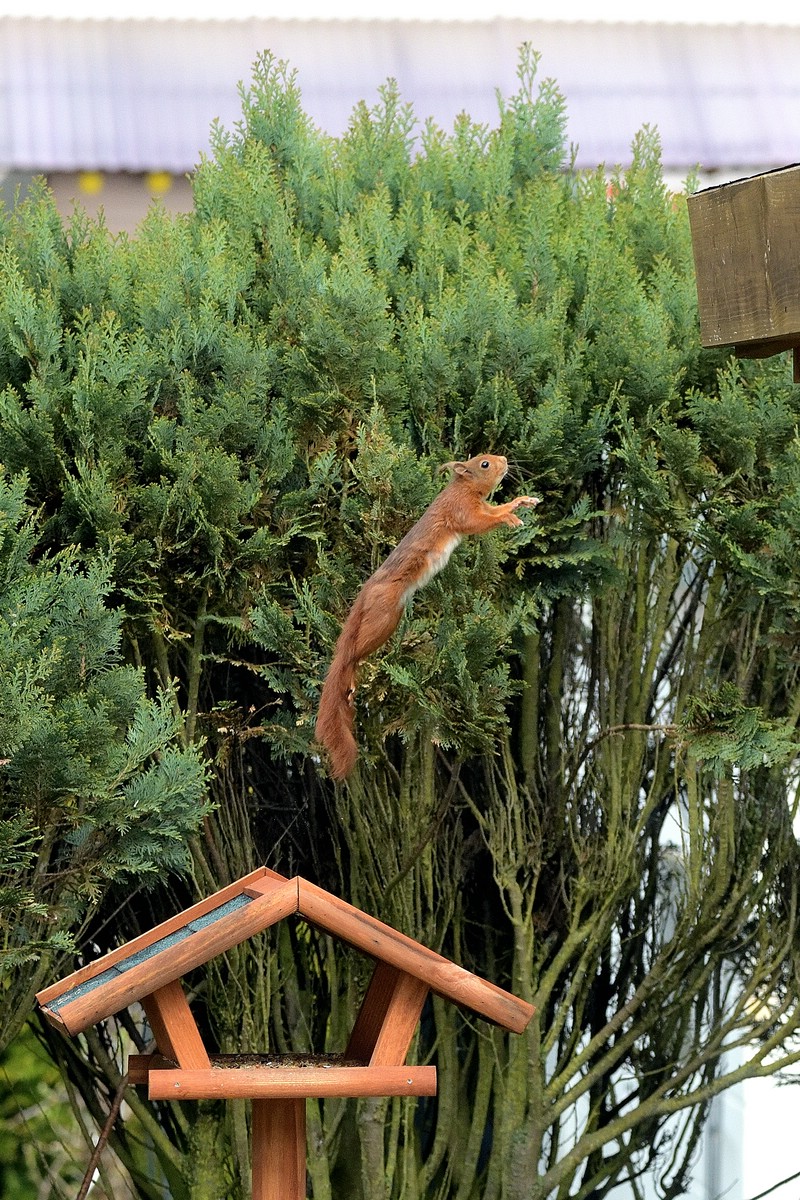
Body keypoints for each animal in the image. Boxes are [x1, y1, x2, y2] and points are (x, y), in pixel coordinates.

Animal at [315, 453, 540, 780]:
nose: (504, 459)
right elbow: (479, 522)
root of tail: (366, 592)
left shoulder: (481, 506)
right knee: (352, 653)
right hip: (381, 616)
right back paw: (350, 672)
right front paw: (508, 519)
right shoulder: (461, 511)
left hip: (389, 620)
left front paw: (520, 502)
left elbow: (496, 509)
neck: (464, 488)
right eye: (484, 464)